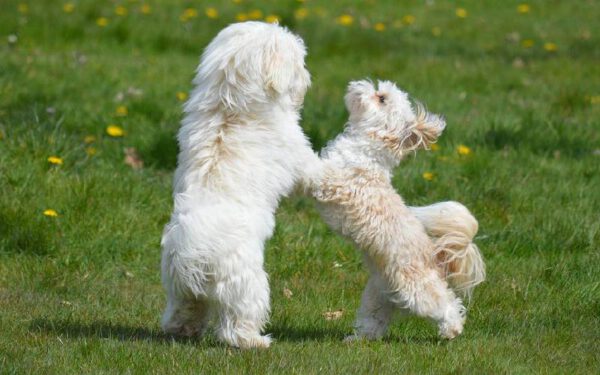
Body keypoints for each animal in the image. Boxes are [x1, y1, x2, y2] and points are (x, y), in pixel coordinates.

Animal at [159, 22, 318, 352]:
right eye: (299, 61)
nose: (307, 76)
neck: (230, 106)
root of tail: (193, 250)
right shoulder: (300, 158)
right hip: (246, 285)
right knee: (236, 323)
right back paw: (255, 341)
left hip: (180, 289)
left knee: (183, 312)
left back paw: (182, 331)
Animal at [312, 79, 486, 340]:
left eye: (382, 98)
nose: (359, 84)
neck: (370, 145)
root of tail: (435, 257)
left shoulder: (335, 178)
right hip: (377, 296)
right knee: (373, 323)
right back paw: (358, 339)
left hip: (417, 290)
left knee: (446, 303)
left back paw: (451, 329)